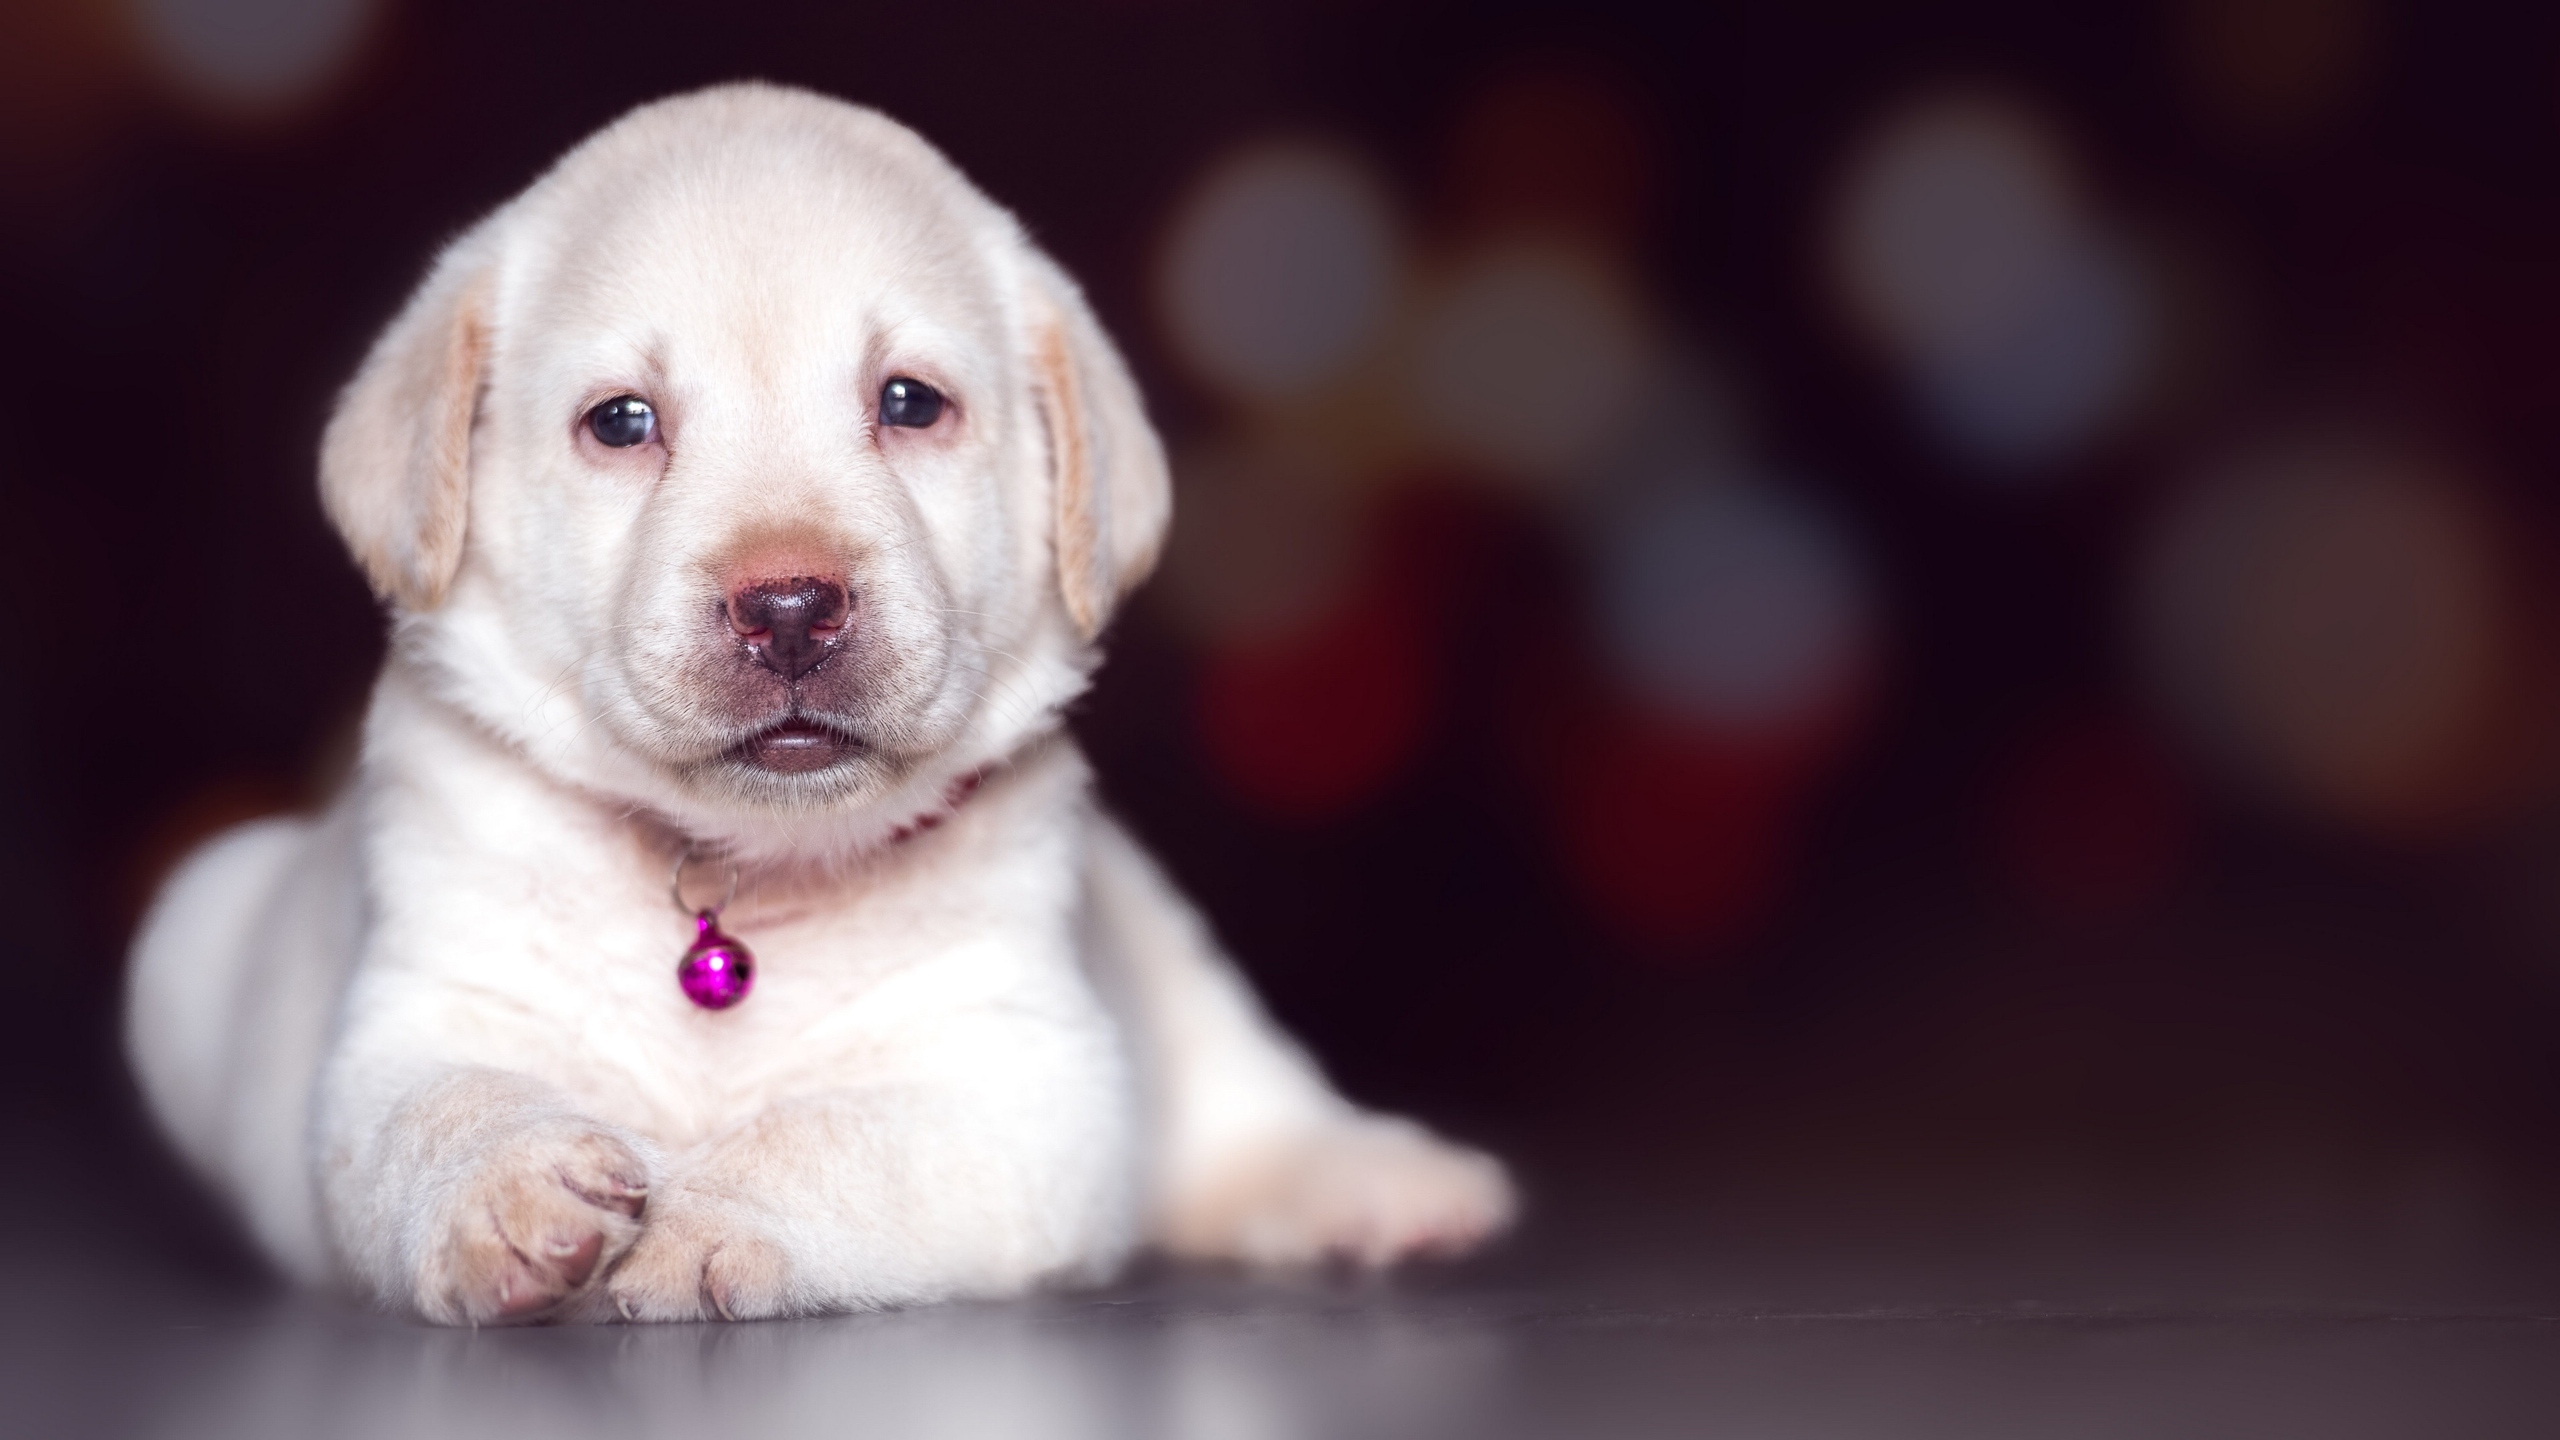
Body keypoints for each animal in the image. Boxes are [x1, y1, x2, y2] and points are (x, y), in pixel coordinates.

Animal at [124, 83, 1515, 1322]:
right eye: (621, 422)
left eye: (908, 402)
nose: (789, 608)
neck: (732, 883)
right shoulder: (410, 1020)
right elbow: (432, 1109)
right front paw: (505, 1188)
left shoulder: (1024, 1084)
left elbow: (833, 1137)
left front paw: (712, 1217)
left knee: (1243, 1093)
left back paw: (1376, 1181)